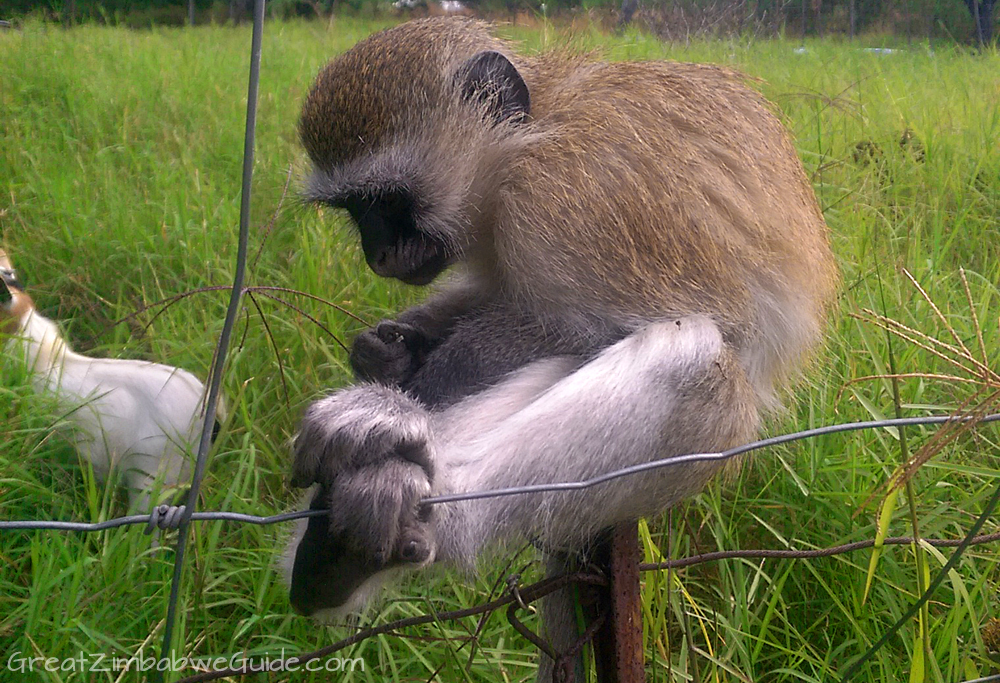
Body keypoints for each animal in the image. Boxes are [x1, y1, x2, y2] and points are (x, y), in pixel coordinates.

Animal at [288, 16, 836, 680]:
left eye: (389, 200)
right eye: (354, 208)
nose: (379, 255)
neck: (524, 141)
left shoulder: (562, 202)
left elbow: (591, 329)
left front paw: (406, 387)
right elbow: (493, 292)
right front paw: (392, 349)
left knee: (699, 367)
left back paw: (415, 480)